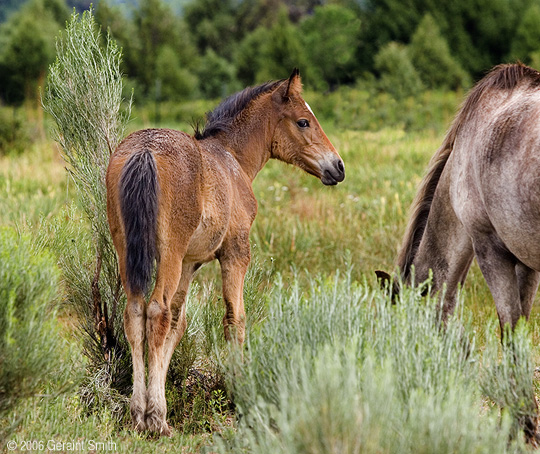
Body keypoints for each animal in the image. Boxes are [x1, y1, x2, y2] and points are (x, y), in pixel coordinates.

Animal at [105, 69, 346, 434]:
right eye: (304, 121)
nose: (338, 166)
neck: (233, 159)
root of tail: (144, 151)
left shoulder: (191, 263)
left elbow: (178, 323)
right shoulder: (236, 252)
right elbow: (235, 318)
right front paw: (239, 392)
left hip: (126, 248)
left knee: (136, 313)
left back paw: (138, 414)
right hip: (169, 252)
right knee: (156, 311)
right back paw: (156, 419)